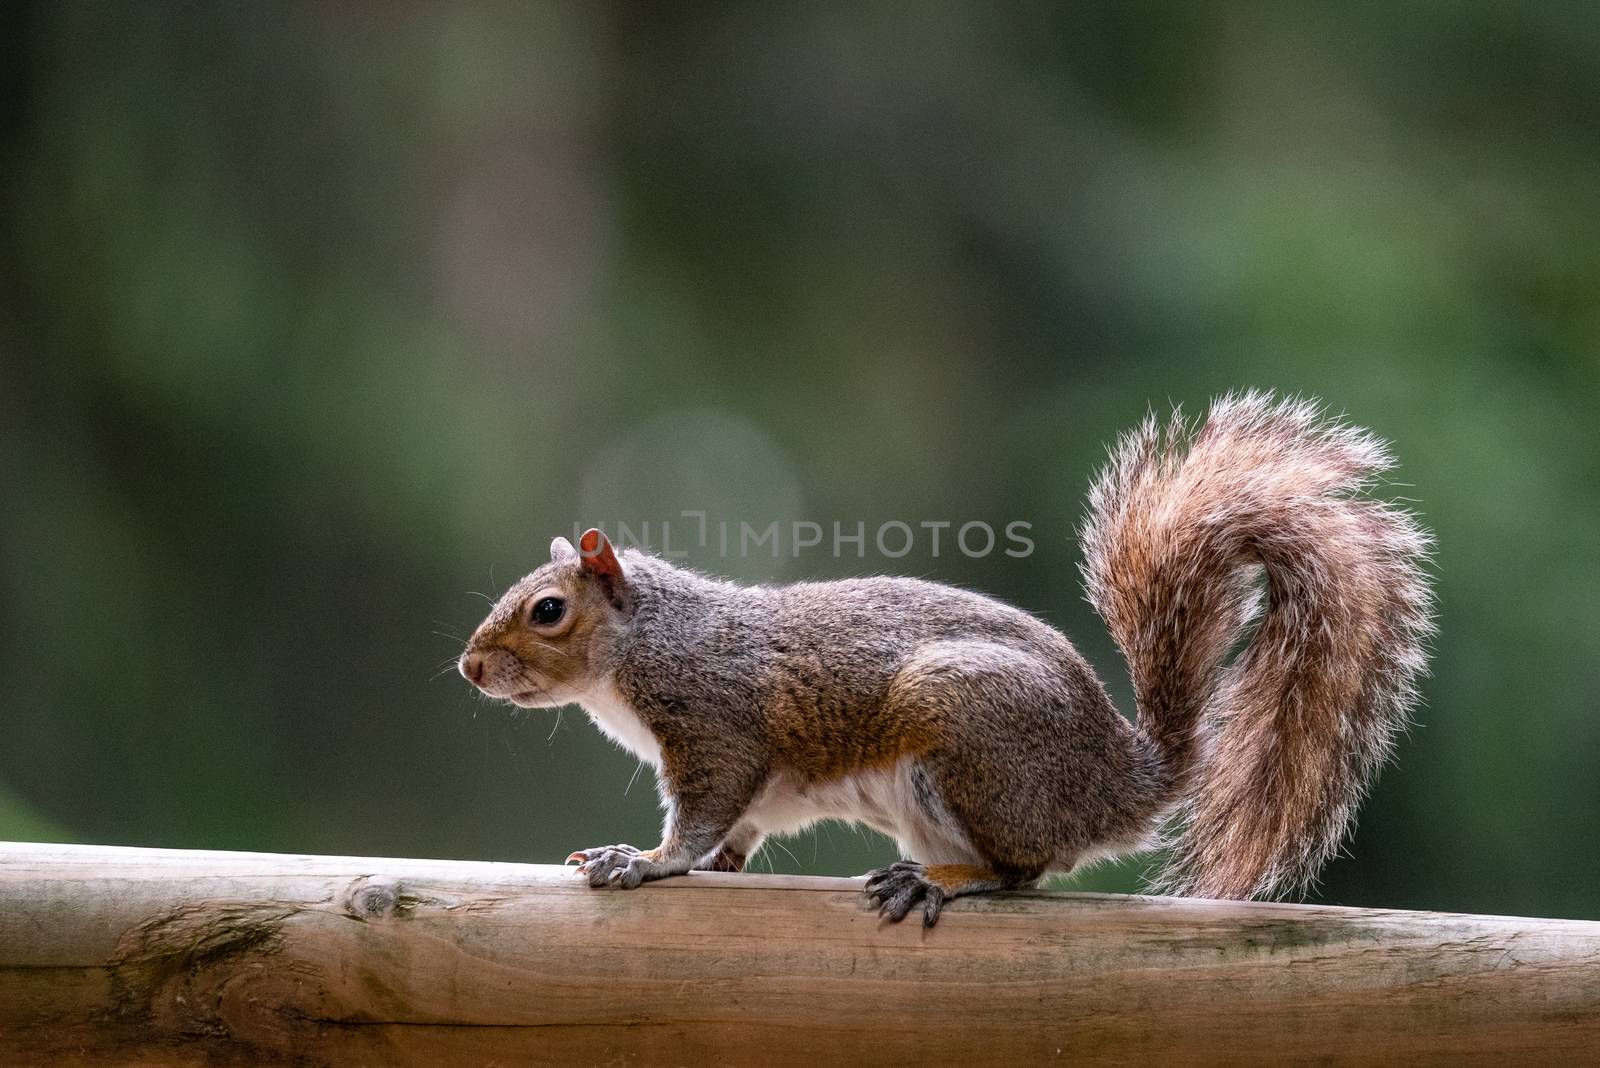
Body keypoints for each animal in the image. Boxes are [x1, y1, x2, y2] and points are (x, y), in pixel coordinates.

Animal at [457, 391, 1433, 927]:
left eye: (548, 611)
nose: (470, 669)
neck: (649, 642)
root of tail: (1116, 781)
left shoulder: (716, 726)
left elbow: (700, 820)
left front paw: (649, 860)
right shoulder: (749, 779)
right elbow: (740, 832)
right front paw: (698, 861)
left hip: (962, 721)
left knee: (1023, 871)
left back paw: (940, 881)